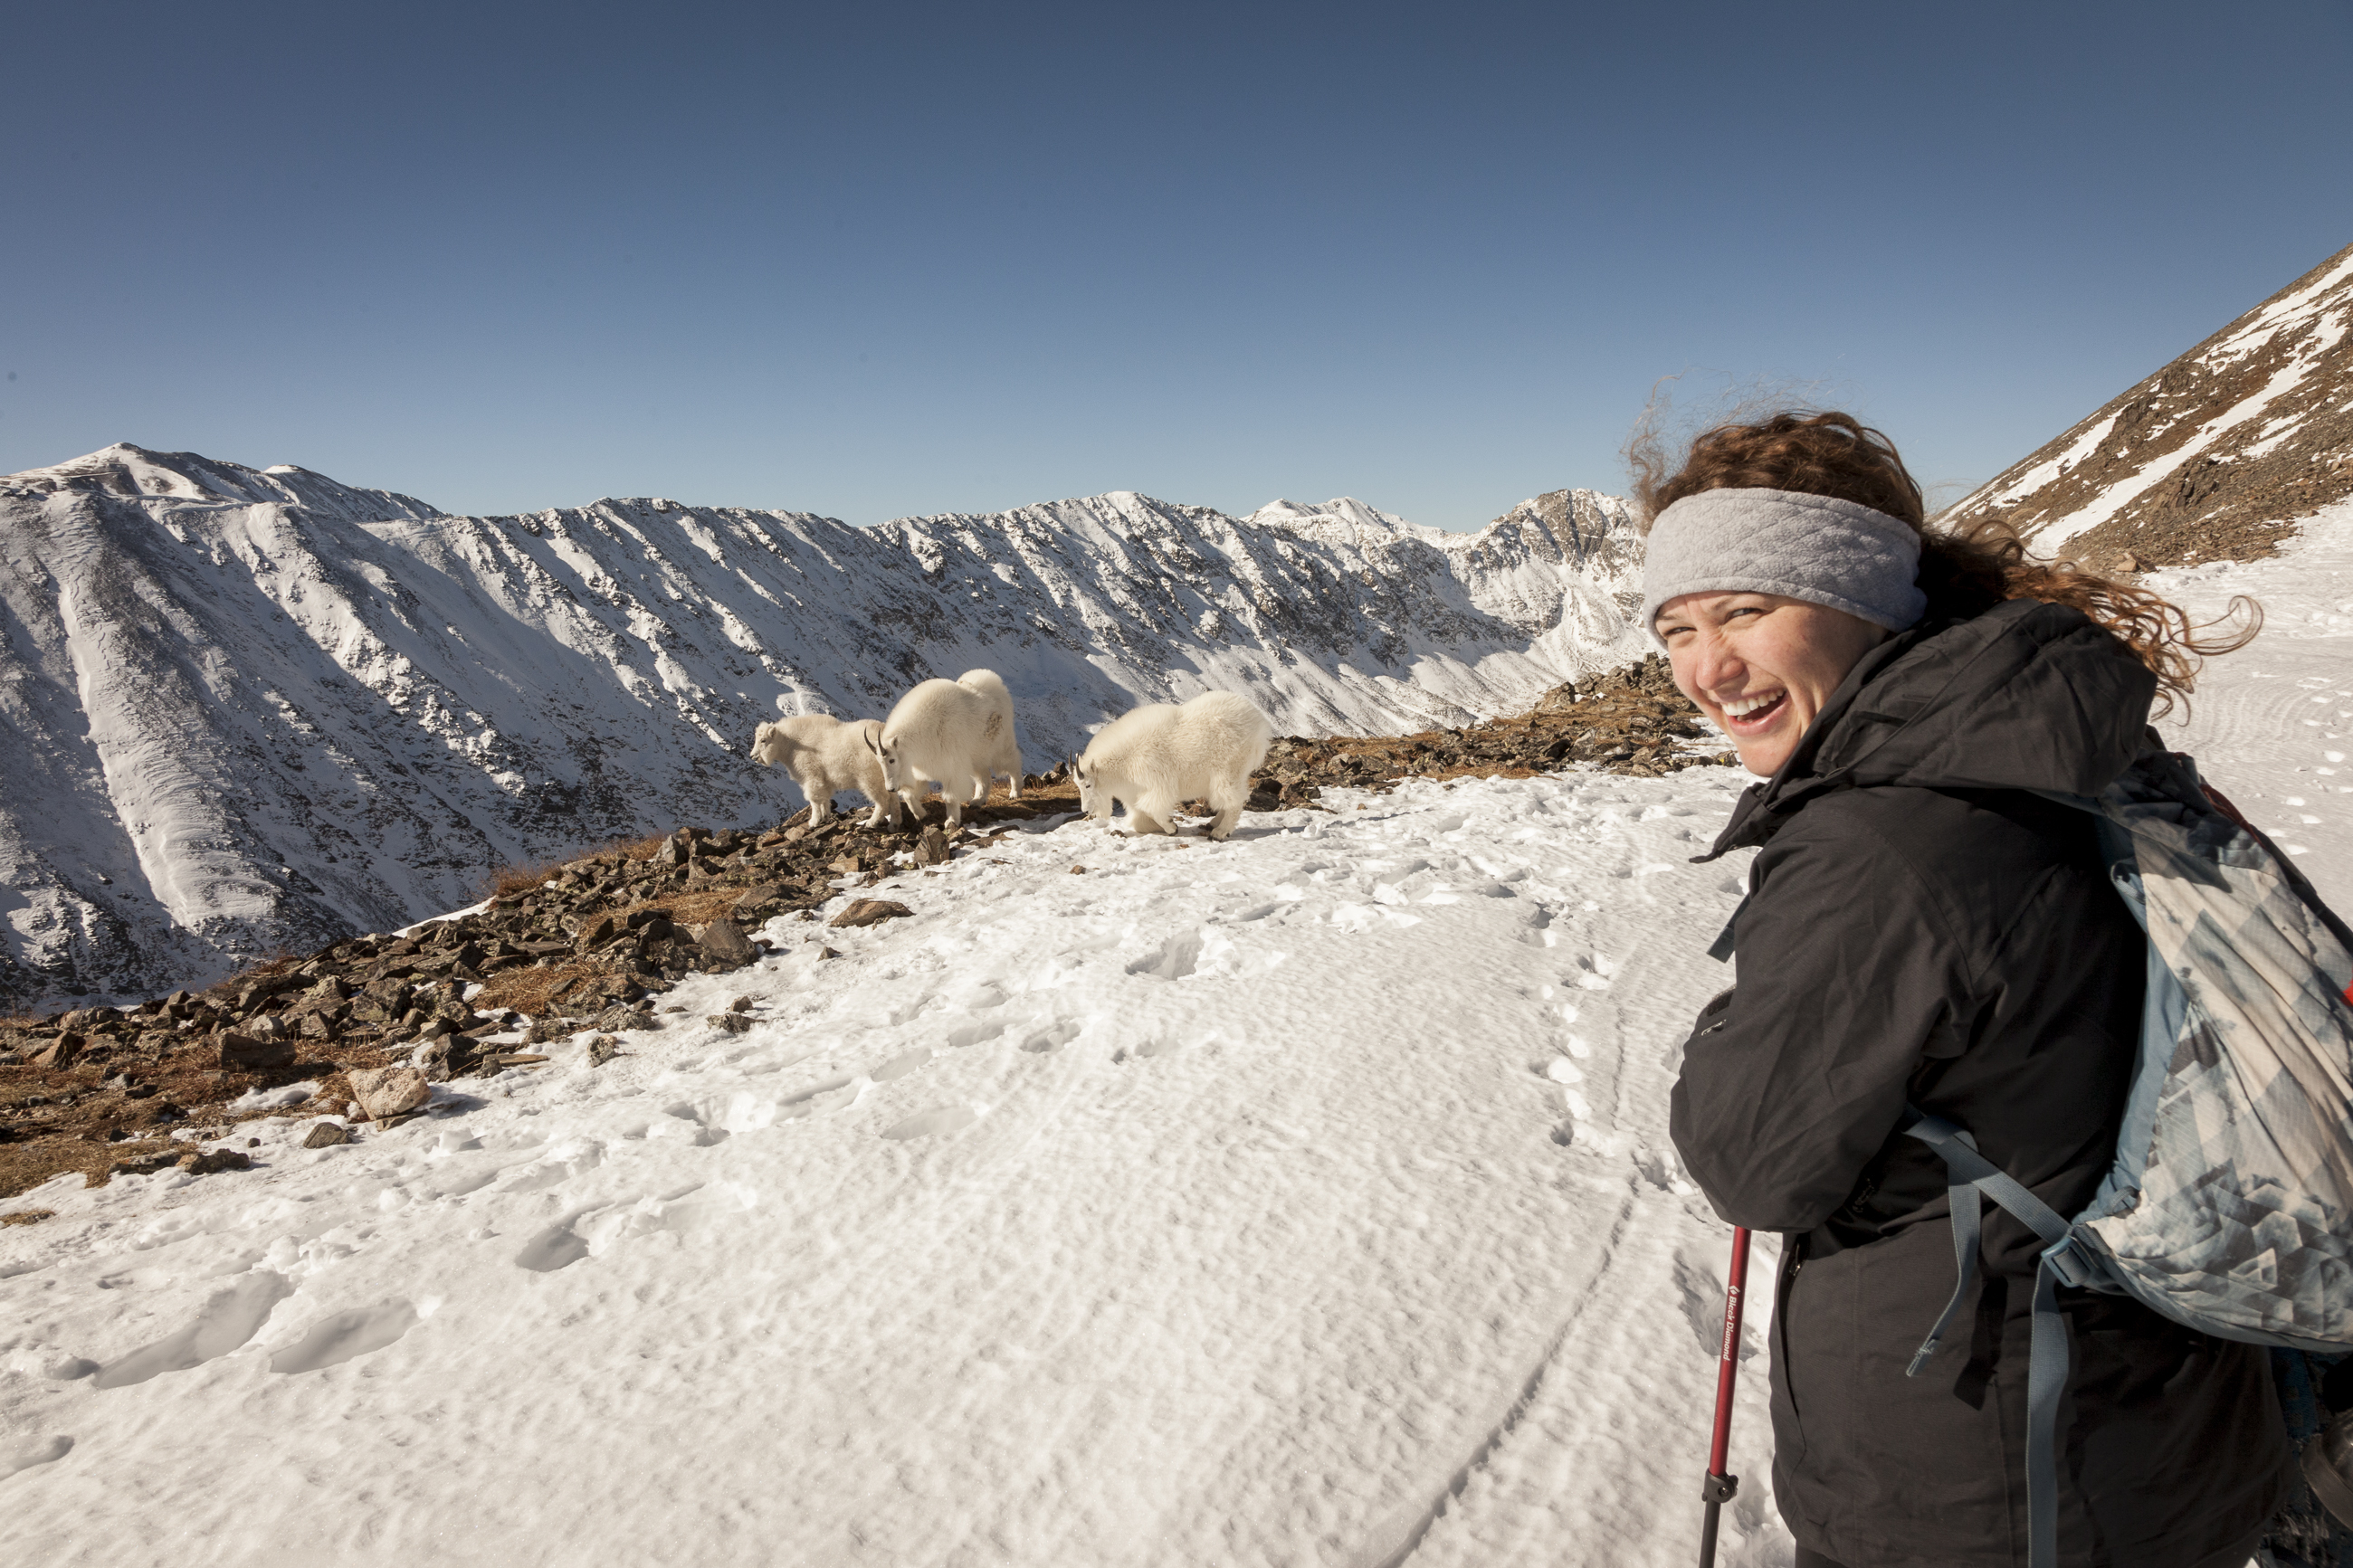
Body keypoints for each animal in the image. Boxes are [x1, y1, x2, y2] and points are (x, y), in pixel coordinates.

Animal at [753, 714, 908, 827]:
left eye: (763, 740)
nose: (753, 756)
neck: (793, 745)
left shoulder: (811, 776)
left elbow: (814, 799)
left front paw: (813, 822)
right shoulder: (824, 780)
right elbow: (825, 798)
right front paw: (825, 817)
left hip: (869, 777)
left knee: (882, 799)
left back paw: (872, 822)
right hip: (886, 776)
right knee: (893, 797)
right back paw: (894, 824)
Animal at [875, 667, 1021, 827]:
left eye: (892, 760)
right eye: (880, 763)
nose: (891, 788)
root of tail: (999, 686)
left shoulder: (952, 767)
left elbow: (950, 797)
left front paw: (952, 821)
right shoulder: (920, 769)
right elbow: (909, 795)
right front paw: (921, 815)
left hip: (1001, 745)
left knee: (1013, 762)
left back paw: (1015, 792)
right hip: (977, 755)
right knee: (984, 776)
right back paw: (977, 801)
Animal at [1077, 690, 1280, 841]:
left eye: (1088, 785)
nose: (1086, 811)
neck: (1124, 761)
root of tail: (1258, 722)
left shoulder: (1158, 785)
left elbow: (1153, 809)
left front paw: (1171, 827)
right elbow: (1140, 822)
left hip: (1229, 771)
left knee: (1234, 801)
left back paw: (1220, 833)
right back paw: (1212, 824)